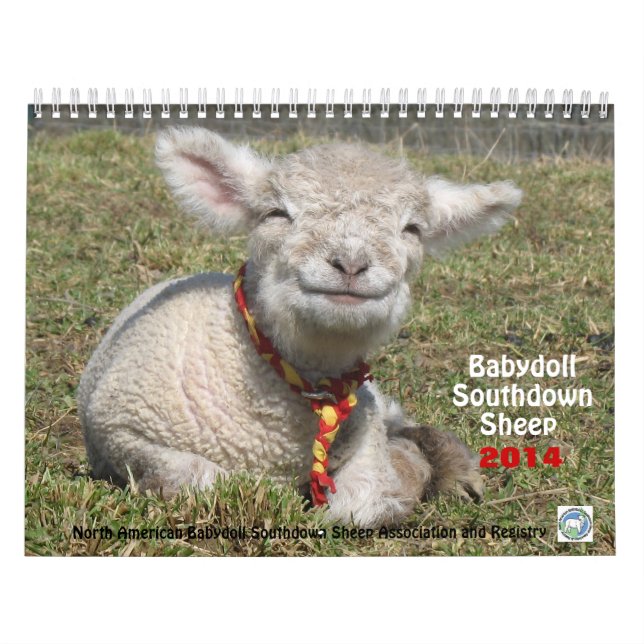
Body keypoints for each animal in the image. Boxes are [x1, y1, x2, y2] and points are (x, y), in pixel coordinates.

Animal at [78, 126, 522, 528]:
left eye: (412, 229)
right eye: (276, 213)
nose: (351, 263)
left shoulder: (366, 432)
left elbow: (362, 503)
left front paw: (406, 472)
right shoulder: (121, 431)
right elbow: (202, 479)